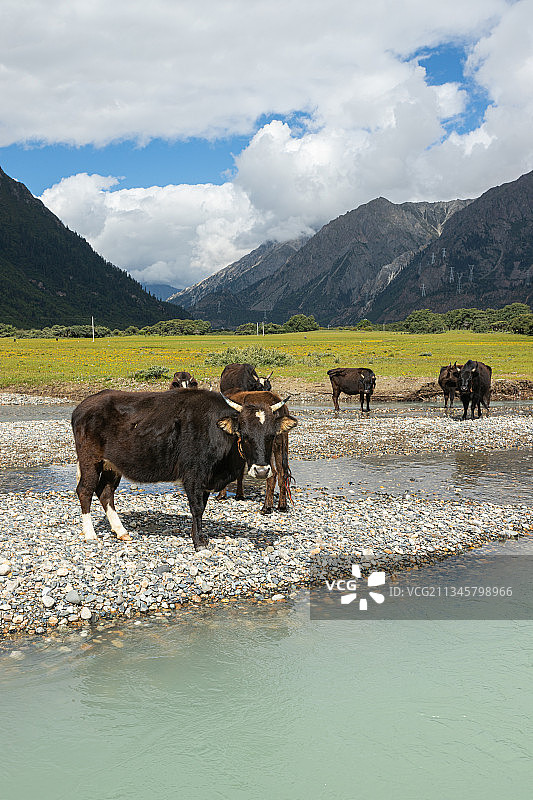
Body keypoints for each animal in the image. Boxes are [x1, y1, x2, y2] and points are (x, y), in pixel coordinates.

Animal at [70, 388, 298, 552]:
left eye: (271, 435)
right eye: (244, 434)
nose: (261, 471)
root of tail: (84, 405)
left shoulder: (205, 481)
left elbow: (202, 508)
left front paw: (200, 536)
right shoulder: (193, 475)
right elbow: (195, 508)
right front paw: (198, 542)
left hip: (112, 465)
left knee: (105, 492)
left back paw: (121, 532)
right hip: (90, 459)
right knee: (85, 490)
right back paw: (90, 534)